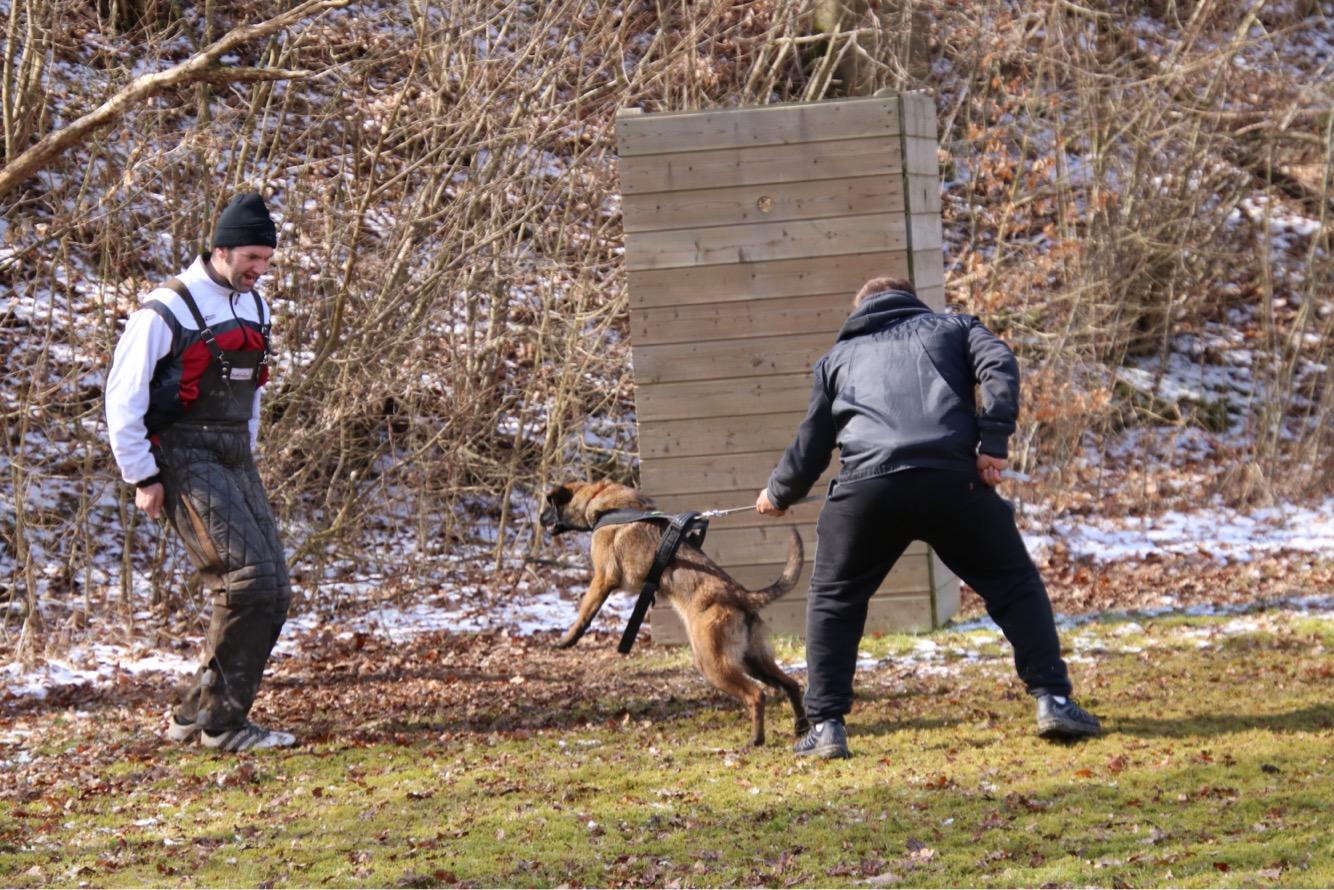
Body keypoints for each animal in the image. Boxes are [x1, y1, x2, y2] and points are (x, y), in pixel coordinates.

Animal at [541, 480, 811, 747]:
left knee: (756, 695)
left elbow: (585, 611)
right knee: (791, 685)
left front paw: (567, 639)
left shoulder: (602, 578)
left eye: (549, 504)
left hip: (712, 663)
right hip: (753, 661)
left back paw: (756, 739)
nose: (541, 520)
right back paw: (800, 726)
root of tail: (740, 594)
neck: (598, 499)